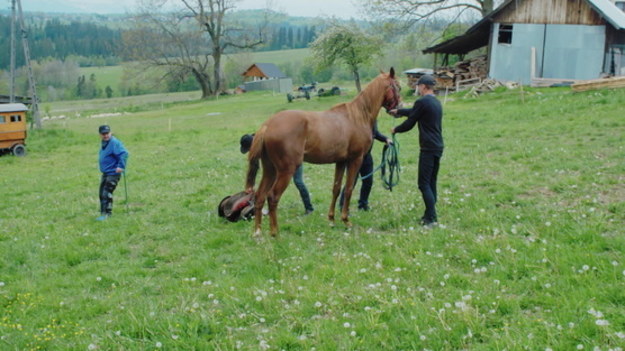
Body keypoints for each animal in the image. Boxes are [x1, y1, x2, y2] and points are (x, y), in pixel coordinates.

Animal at [244, 68, 400, 239]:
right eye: (397, 86)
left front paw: (332, 220)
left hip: (270, 170)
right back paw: (275, 232)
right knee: (272, 197)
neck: (357, 115)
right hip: (286, 171)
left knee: (260, 196)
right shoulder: (355, 159)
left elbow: (336, 189)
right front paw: (346, 221)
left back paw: (258, 232)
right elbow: (349, 189)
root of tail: (267, 125)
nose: (399, 108)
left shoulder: (341, 162)